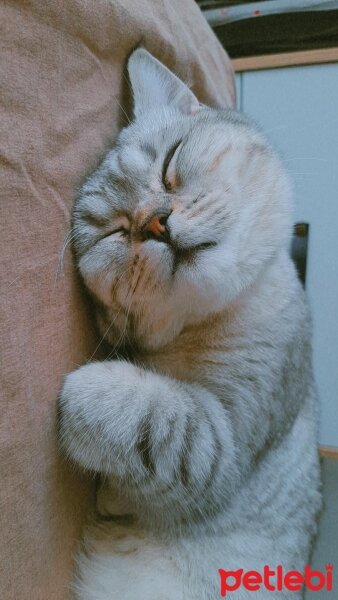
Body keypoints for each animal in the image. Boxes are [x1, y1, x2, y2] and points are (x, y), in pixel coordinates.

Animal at [58, 48, 322, 600]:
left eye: (169, 165)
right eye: (114, 233)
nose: (156, 222)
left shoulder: (223, 448)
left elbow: (153, 414)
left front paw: (84, 393)